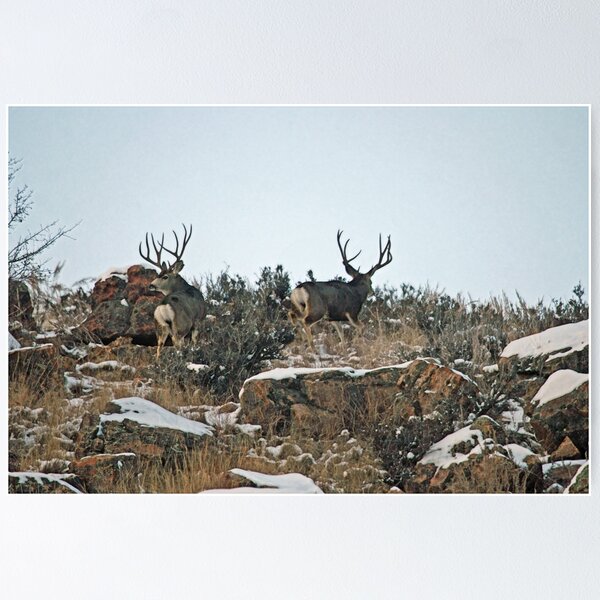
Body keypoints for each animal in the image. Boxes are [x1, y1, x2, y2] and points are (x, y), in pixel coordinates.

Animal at [138, 224, 206, 356]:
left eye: (164, 276)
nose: (150, 285)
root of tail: (163, 306)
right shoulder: (197, 321)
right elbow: (195, 342)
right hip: (181, 325)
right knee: (177, 342)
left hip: (159, 328)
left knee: (159, 347)